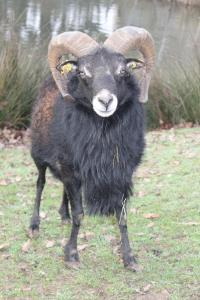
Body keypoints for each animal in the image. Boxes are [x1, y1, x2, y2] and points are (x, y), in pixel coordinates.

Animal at [29, 27, 155, 272]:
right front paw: (72, 255)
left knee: (61, 189)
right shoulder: (71, 170)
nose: (105, 102)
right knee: (40, 184)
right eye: (83, 73)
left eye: (123, 71)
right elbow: (80, 214)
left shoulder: (122, 174)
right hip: (38, 157)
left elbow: (122, 217)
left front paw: (130, 259)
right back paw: (34, 225)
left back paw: (63, 215)